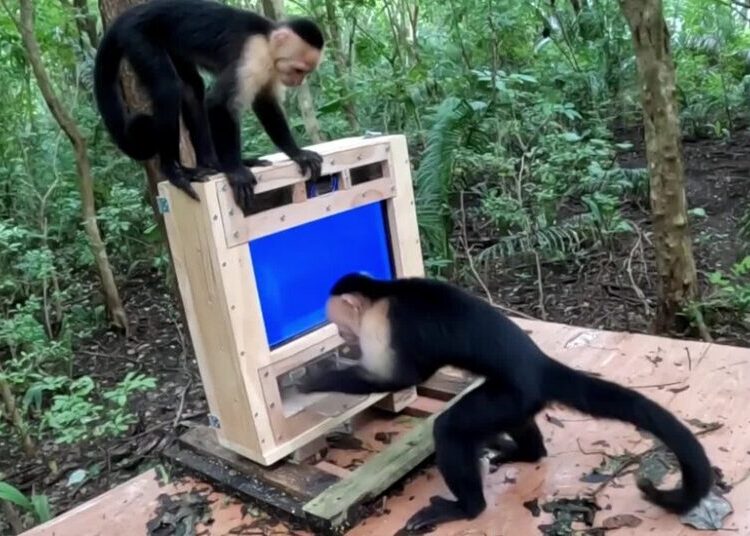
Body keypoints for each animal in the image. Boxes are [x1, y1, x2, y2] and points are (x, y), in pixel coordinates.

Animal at [94, 0, 325, 216]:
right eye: (299, 70)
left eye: (305, 72)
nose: (298, 81)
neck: (267, 40)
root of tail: (126, 16)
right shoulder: (253, 56)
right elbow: (218, 104)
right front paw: (236, 171)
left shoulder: (270, 68)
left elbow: (265, 103)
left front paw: (297, 153)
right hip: (137, 36)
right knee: (168, 88)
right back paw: (174, 171)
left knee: (192, 88)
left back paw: (212, 164)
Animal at [298, 273, 714, 532]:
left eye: (341, 325)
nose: (343, 337)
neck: (384, 293)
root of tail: (540, 364)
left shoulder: (382, 325)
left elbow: (400, 379)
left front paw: (315, 379)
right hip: (519, 398)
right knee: (515, 423)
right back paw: (526, 452)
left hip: (514, 393)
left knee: (450, 429)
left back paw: (467, 507)